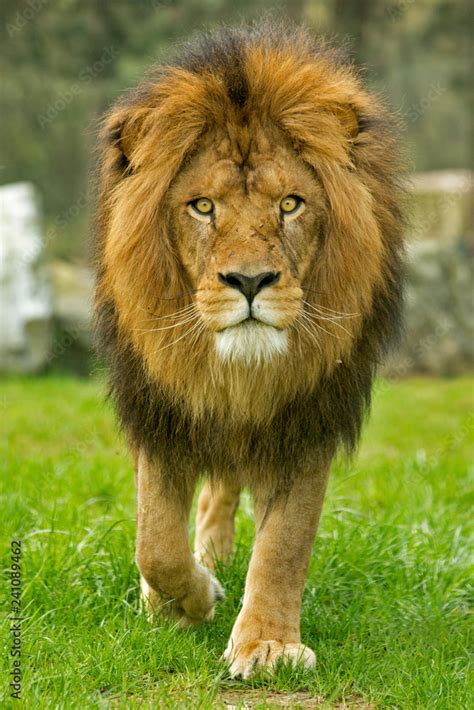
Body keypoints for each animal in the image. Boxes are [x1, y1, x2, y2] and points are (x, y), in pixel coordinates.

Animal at [93, 22, 404, 680]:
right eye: (202, 206)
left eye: (290, 204)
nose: (251, 281)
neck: (242, 375)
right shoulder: (162, 406)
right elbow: (155, 539)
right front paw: (186, 601)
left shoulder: (307, 419)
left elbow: (284, 543)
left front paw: (267, 644)